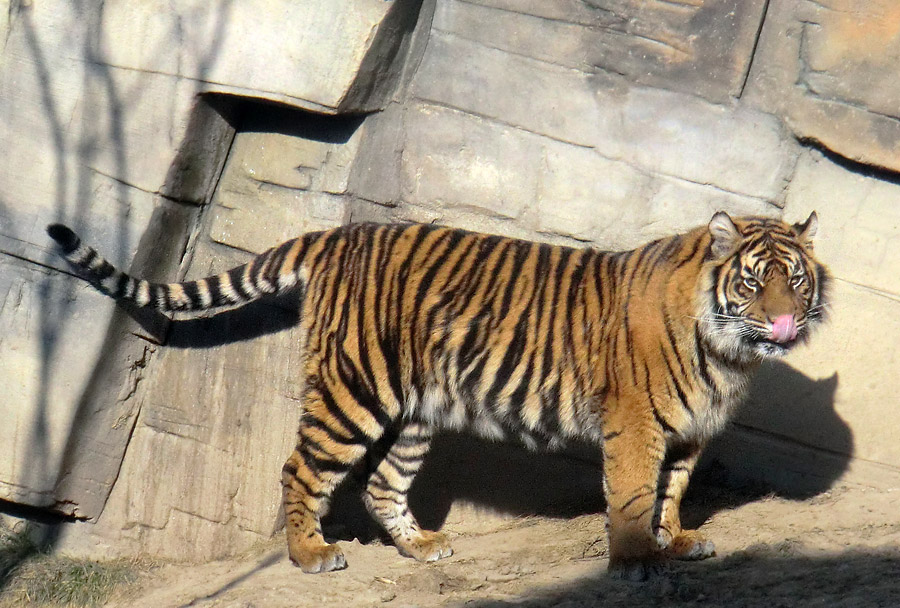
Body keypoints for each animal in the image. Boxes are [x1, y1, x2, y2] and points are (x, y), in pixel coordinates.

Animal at [44, 213, 828, 580]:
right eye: (754, 281)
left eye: (797, 278)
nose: (786, 322)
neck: (729, 357)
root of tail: (340, 233)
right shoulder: (637, 424)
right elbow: (636, 493)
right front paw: (638, 559)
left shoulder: (689, 431)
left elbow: (672, 490)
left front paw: (677, 541)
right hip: (352, 391)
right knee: (301, 470)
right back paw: (310, 553)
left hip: (417, 410)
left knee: (382, 484)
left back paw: (421, 545)